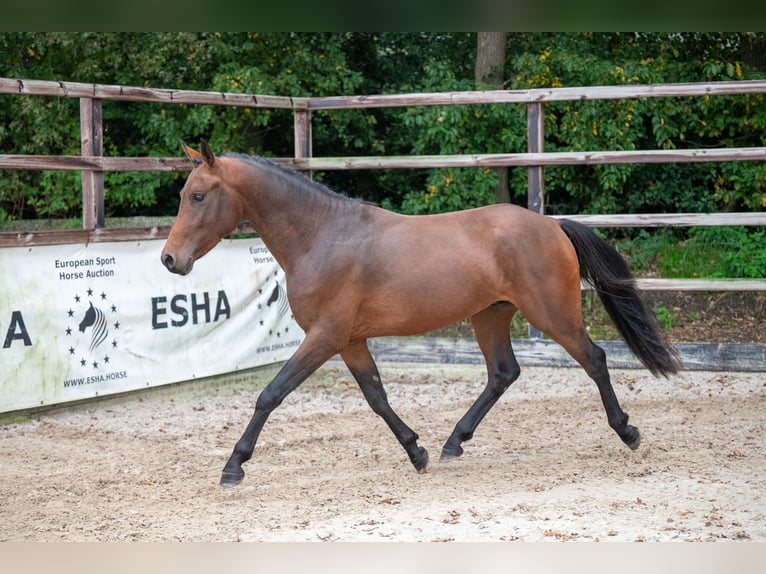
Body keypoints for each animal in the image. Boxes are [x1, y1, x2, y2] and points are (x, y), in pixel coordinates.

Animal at [159, 142, 680, 488]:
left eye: (198, 196)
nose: (169, 260)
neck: (321, 236)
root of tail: (551, 225)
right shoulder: (349, 341)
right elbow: (377, 398)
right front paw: (418, 452)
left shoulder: (324, 337)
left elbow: (270, 394)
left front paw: (234, 466)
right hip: (490, 316)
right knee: (503, 373)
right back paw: (454, 442)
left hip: (552, 314)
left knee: (594, 359)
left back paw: (628, 432)